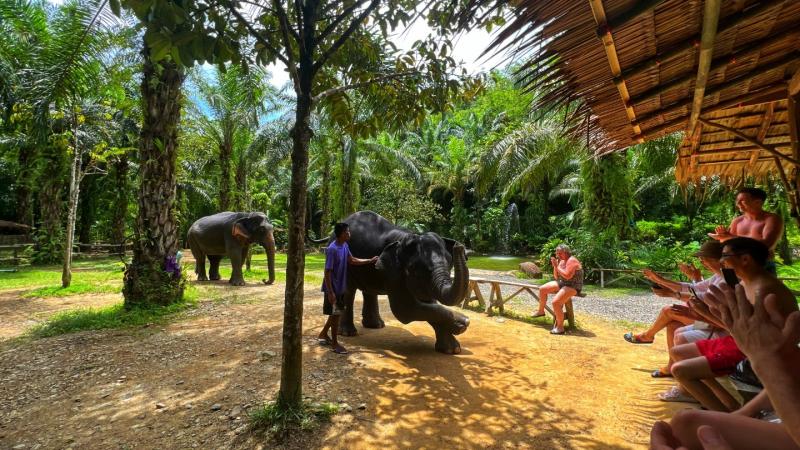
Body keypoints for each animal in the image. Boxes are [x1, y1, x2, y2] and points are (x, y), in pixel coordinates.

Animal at [311, 211, 470, 354]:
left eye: (449, 262)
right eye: (415, 268)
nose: (460, 247)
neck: (406, 237)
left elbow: (428, 303)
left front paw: (453, 349)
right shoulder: (393, 271)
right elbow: (405, 310)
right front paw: (461, 323)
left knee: (368, 290)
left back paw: (375, 326)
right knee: (348, 292)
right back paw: (348, 333)